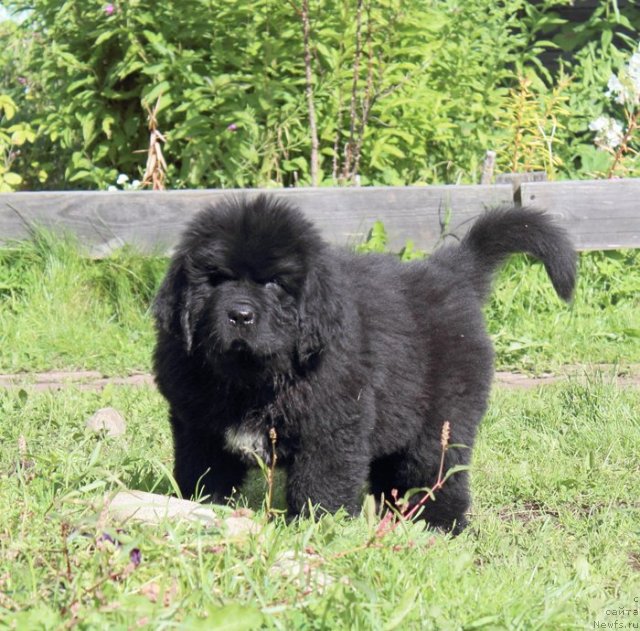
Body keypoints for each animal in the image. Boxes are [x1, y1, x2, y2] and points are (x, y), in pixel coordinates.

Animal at [152, 196, 576, 532]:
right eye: (216, 279)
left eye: (274, 283)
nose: (240, 315)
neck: (251, 377)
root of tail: (450, 271)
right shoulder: (197, 425)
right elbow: (202, 473)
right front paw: (197, 509)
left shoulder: (330, 428)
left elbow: (320, 485)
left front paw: (317, 528)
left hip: (443, 418)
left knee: (439, 471)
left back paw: (439, 525)